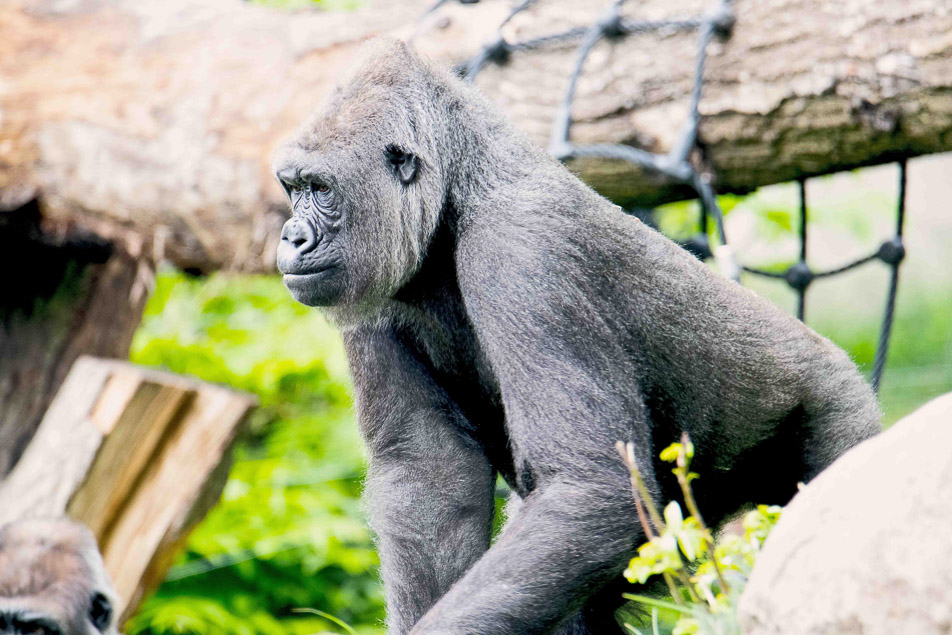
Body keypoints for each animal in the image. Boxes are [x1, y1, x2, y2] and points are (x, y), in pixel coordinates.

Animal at [271, 38, 881, 634]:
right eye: (292, 188)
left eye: (320, 189)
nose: (292, 237)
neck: (458, 188)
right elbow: (432, 478)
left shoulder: (525, 248)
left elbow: (591, 487)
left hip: (839, 416)